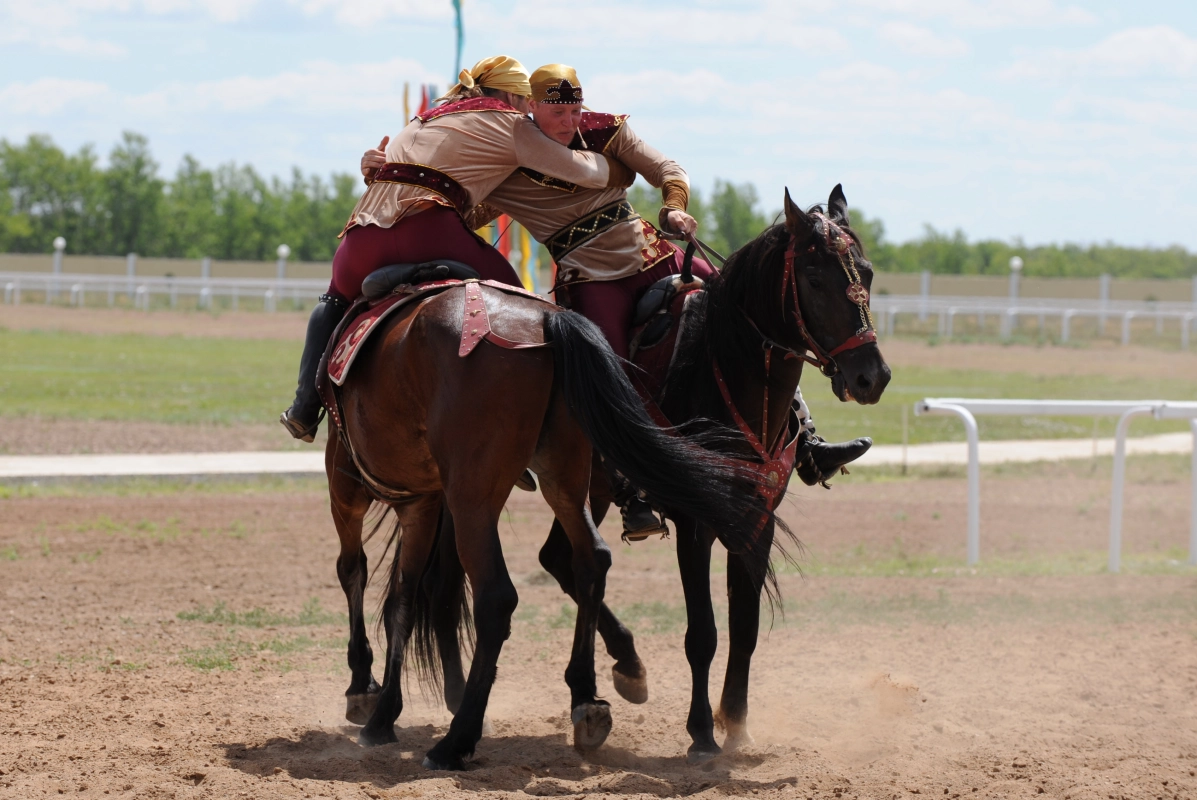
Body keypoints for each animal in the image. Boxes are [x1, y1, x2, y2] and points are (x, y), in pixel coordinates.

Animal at [325, 280, 775, 766]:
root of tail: (546, 322)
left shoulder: (350, 483)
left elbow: (359, 574)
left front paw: (365, 694)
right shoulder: (422, 501)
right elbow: (403, 598)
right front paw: (383, 711)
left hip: (471, 499)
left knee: (494, 597)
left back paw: (457, 739)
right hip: (563, 479)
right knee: (588, 560)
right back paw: (588, 700)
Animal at [421, 185, 890, 761]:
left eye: (867, 272)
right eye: (816, 279)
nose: (872, 376)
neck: (722, 369)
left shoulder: (755, 520)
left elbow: (745, 627)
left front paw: (737, 724)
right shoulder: (695, 525)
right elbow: (703, 633)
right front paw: (702, 733)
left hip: (584, 489)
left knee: (561, 560)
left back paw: (626, 666)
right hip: (491, 484)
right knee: (473, 576)